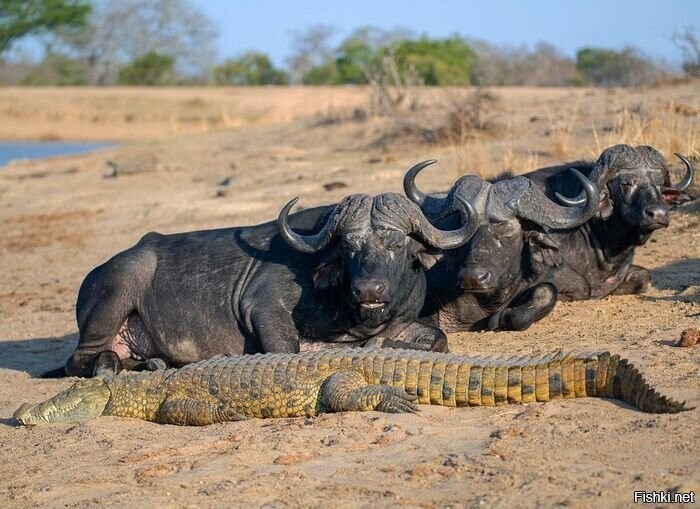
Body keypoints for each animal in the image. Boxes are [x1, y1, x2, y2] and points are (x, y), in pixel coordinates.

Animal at [58, 191, 476, 378]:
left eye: (396, 243)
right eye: (348, 245)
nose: (369, 290)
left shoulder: (403, 323)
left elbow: (439, 339)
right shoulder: (263, 307)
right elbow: (288, 348)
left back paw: (152, 362)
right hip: (120, 286)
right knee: (80, 359)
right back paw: (111, 364)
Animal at [402, 161, 600, 332]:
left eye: (507, 230)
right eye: (464, 224)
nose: (473, 278)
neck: (490, 299)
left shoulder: (574, 283)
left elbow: (548, 290)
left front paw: (502, 318)